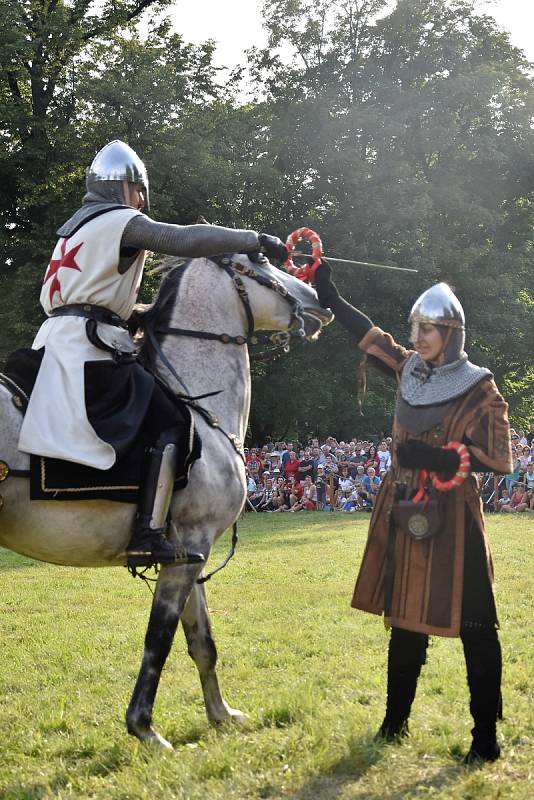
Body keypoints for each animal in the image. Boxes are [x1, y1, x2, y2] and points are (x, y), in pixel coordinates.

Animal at [0, 253, 332, 748]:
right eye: (262, 261)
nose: (317, 300)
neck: (202, 407)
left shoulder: (190, 552)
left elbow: (203, 642)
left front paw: (221, 715)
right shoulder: (187, 547)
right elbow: (160, 638)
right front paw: (144, 728)